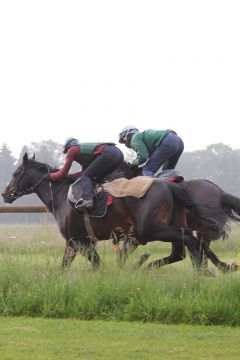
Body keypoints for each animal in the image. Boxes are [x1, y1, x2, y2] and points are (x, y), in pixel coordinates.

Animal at [0, 152, 221, 270]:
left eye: (16, 173)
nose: (5, 193)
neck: (61, 194)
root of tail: (170, 185)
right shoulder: (78, 241)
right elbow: (70, 265)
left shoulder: (78, 240)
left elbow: (92, 264)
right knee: (182, 248)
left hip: (151, 228)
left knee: (189, 240)